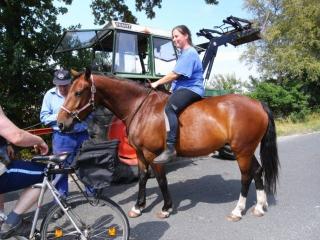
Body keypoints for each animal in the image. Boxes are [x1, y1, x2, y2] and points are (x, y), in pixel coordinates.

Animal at [57, 67, 280, 221]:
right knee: (258, 171)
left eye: (78, 92)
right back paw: (259, 206)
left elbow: (161, 180)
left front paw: (166, 208)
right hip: (246, 150)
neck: (141, 108)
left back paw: (238, 210)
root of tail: (257, 103)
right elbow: (143, 178)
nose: (61, 123)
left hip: (241, 151)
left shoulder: (152, 154)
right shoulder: (139, 154)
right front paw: (138, 206)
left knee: (246, 176)